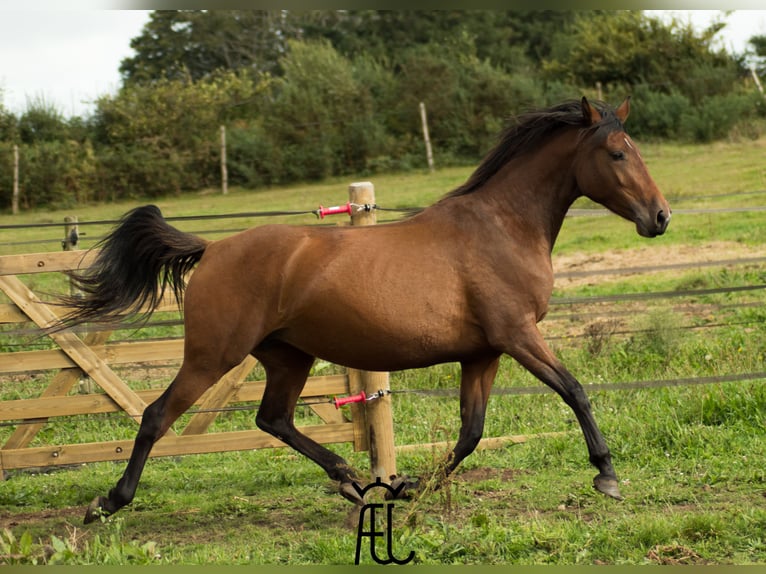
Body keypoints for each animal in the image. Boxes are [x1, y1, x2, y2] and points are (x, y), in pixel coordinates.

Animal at [58, 98, 672, 528]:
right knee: (157, 416)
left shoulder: (484, 352)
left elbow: (472, 430)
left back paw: (352, 480)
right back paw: (106, 503)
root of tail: (212, 250)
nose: (661, 217)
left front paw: (411, 488)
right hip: (214, 356)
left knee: (273, 419)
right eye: (618, 153)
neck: (502, 226)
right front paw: (607, 475)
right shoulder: (519, 335)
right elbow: (575, 391)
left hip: (288, 357)